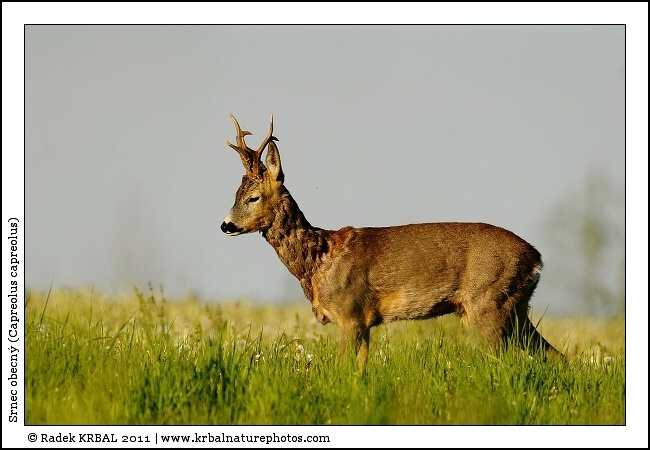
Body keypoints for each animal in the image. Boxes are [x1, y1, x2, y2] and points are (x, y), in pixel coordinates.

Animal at [220, 114, 564, 371]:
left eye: (253, 197)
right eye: (234, 195)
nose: (225, 225)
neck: (319, 261)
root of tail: (537, 259)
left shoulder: (351, 313)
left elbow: (342, 369)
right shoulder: (363, 323)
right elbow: (359, 372)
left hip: (489, 302)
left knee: (509, 360)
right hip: (516, 308)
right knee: (555, 354)